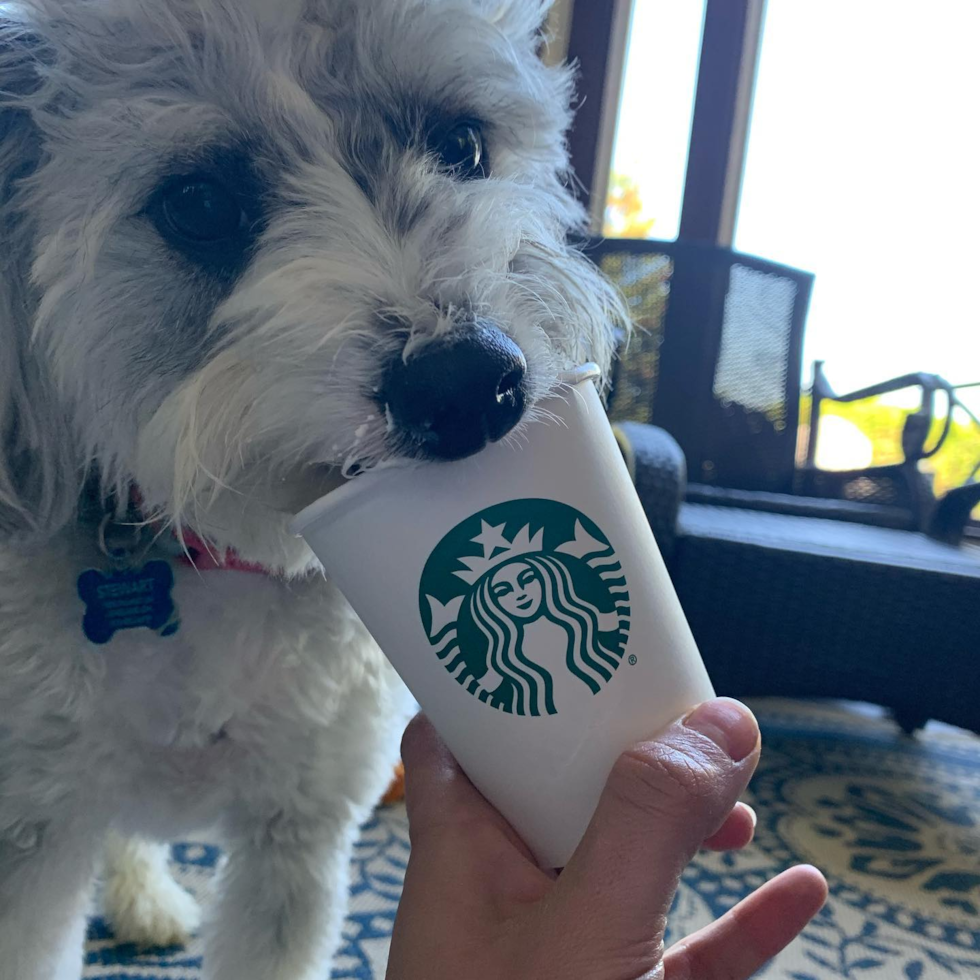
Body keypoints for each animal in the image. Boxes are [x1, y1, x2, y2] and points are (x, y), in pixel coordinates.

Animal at [1, 0, 620, 976]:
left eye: (461, 145)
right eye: (198, 204)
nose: (466, 385)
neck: (217, 559)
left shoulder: (297, 839)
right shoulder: (31, 841)